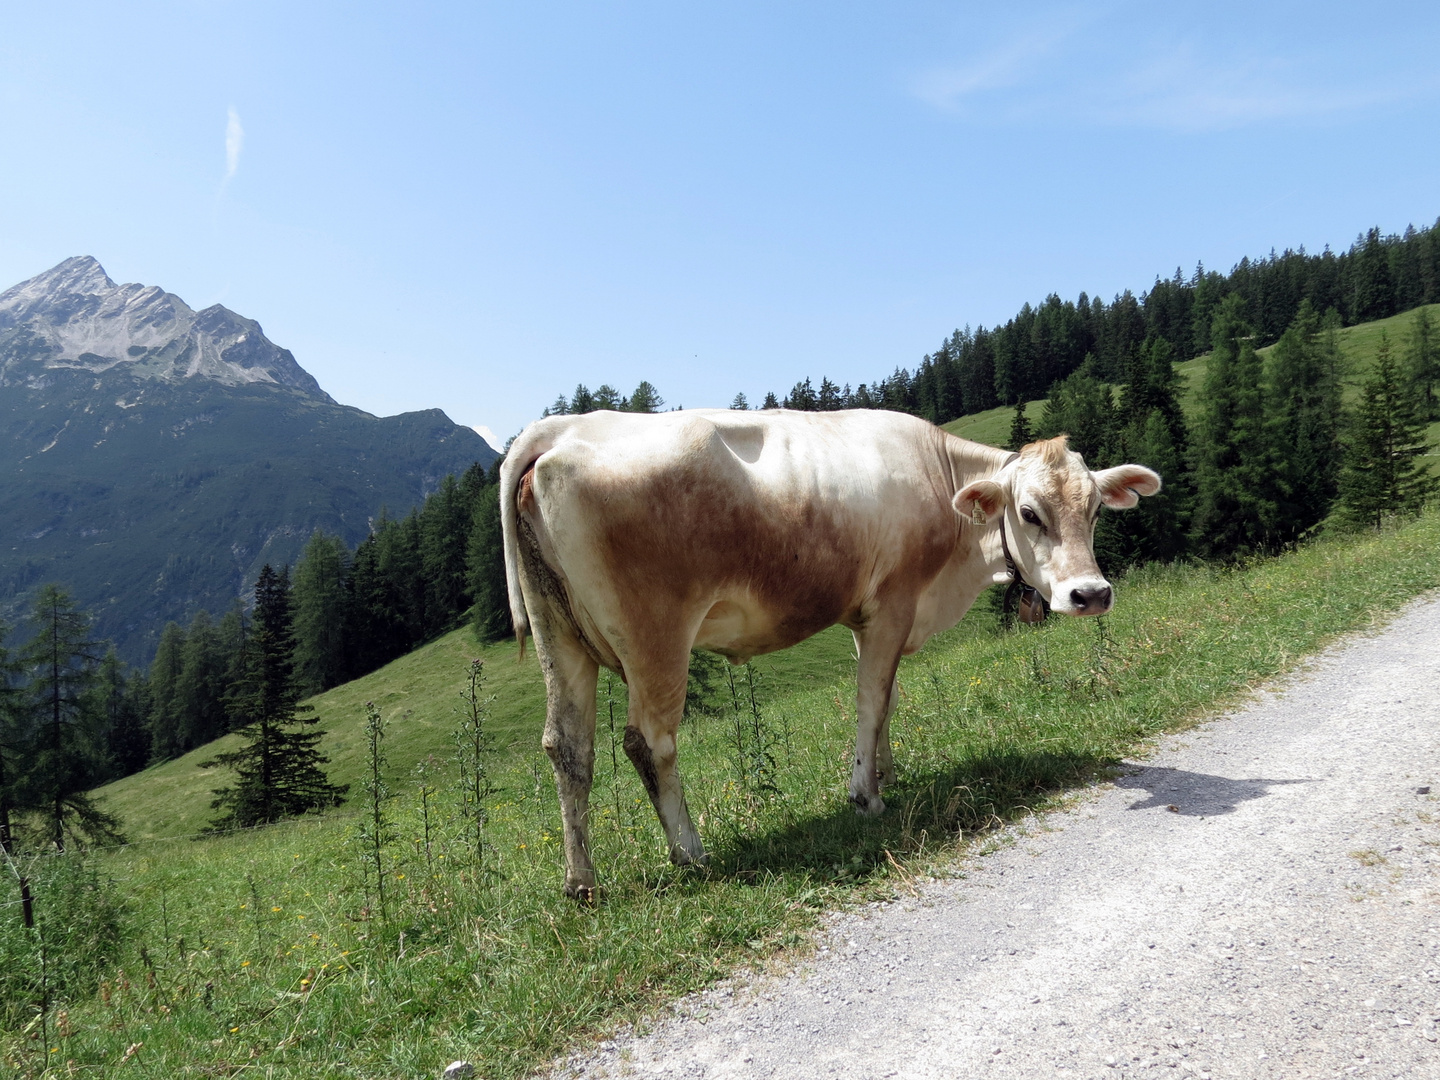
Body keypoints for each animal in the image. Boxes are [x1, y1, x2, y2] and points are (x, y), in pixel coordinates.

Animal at [501, 406, 1163, 898]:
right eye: (1029, 513)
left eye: (1096, 510)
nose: (1091, 594)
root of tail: (561, 427)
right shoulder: (894, 603)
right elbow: (871, 699)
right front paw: (866, 796)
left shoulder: (868, 617)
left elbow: (888, 699)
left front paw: (888, 772)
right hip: (656, 637)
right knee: (648, 742)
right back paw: (690, 853)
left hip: (560, 634)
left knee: (567, 747)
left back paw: (581, 883)